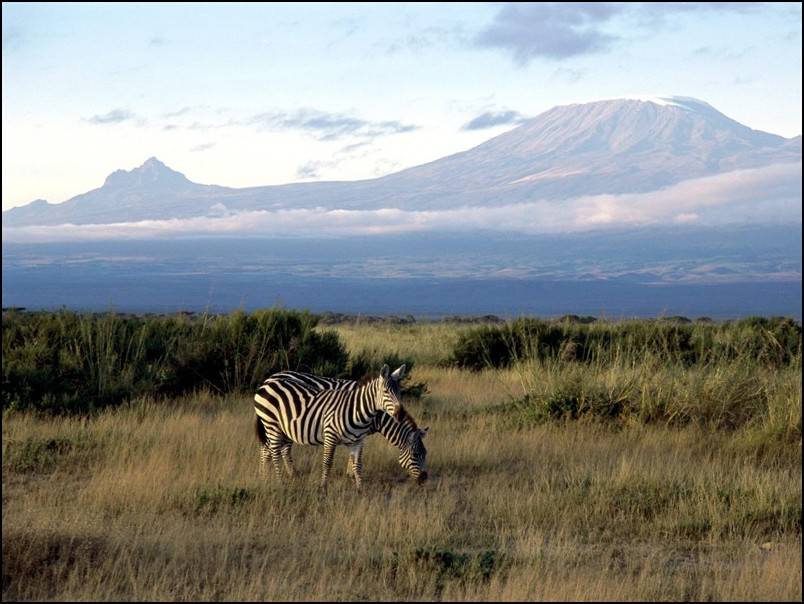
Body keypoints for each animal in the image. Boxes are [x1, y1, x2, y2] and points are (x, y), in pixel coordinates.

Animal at [251, 364, 418, 490]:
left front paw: (357, 485)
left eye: (399, 392)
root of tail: (268, 380)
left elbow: (357, 462)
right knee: (273, 451)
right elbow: (330, 462)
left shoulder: (358, 438)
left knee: (272, 449)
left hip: (282, 427)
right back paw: (278, 481)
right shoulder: (336, 434)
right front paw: (328, 485)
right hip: (272, 424)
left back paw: (268, 476)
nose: (422, 479)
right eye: (417, 455)